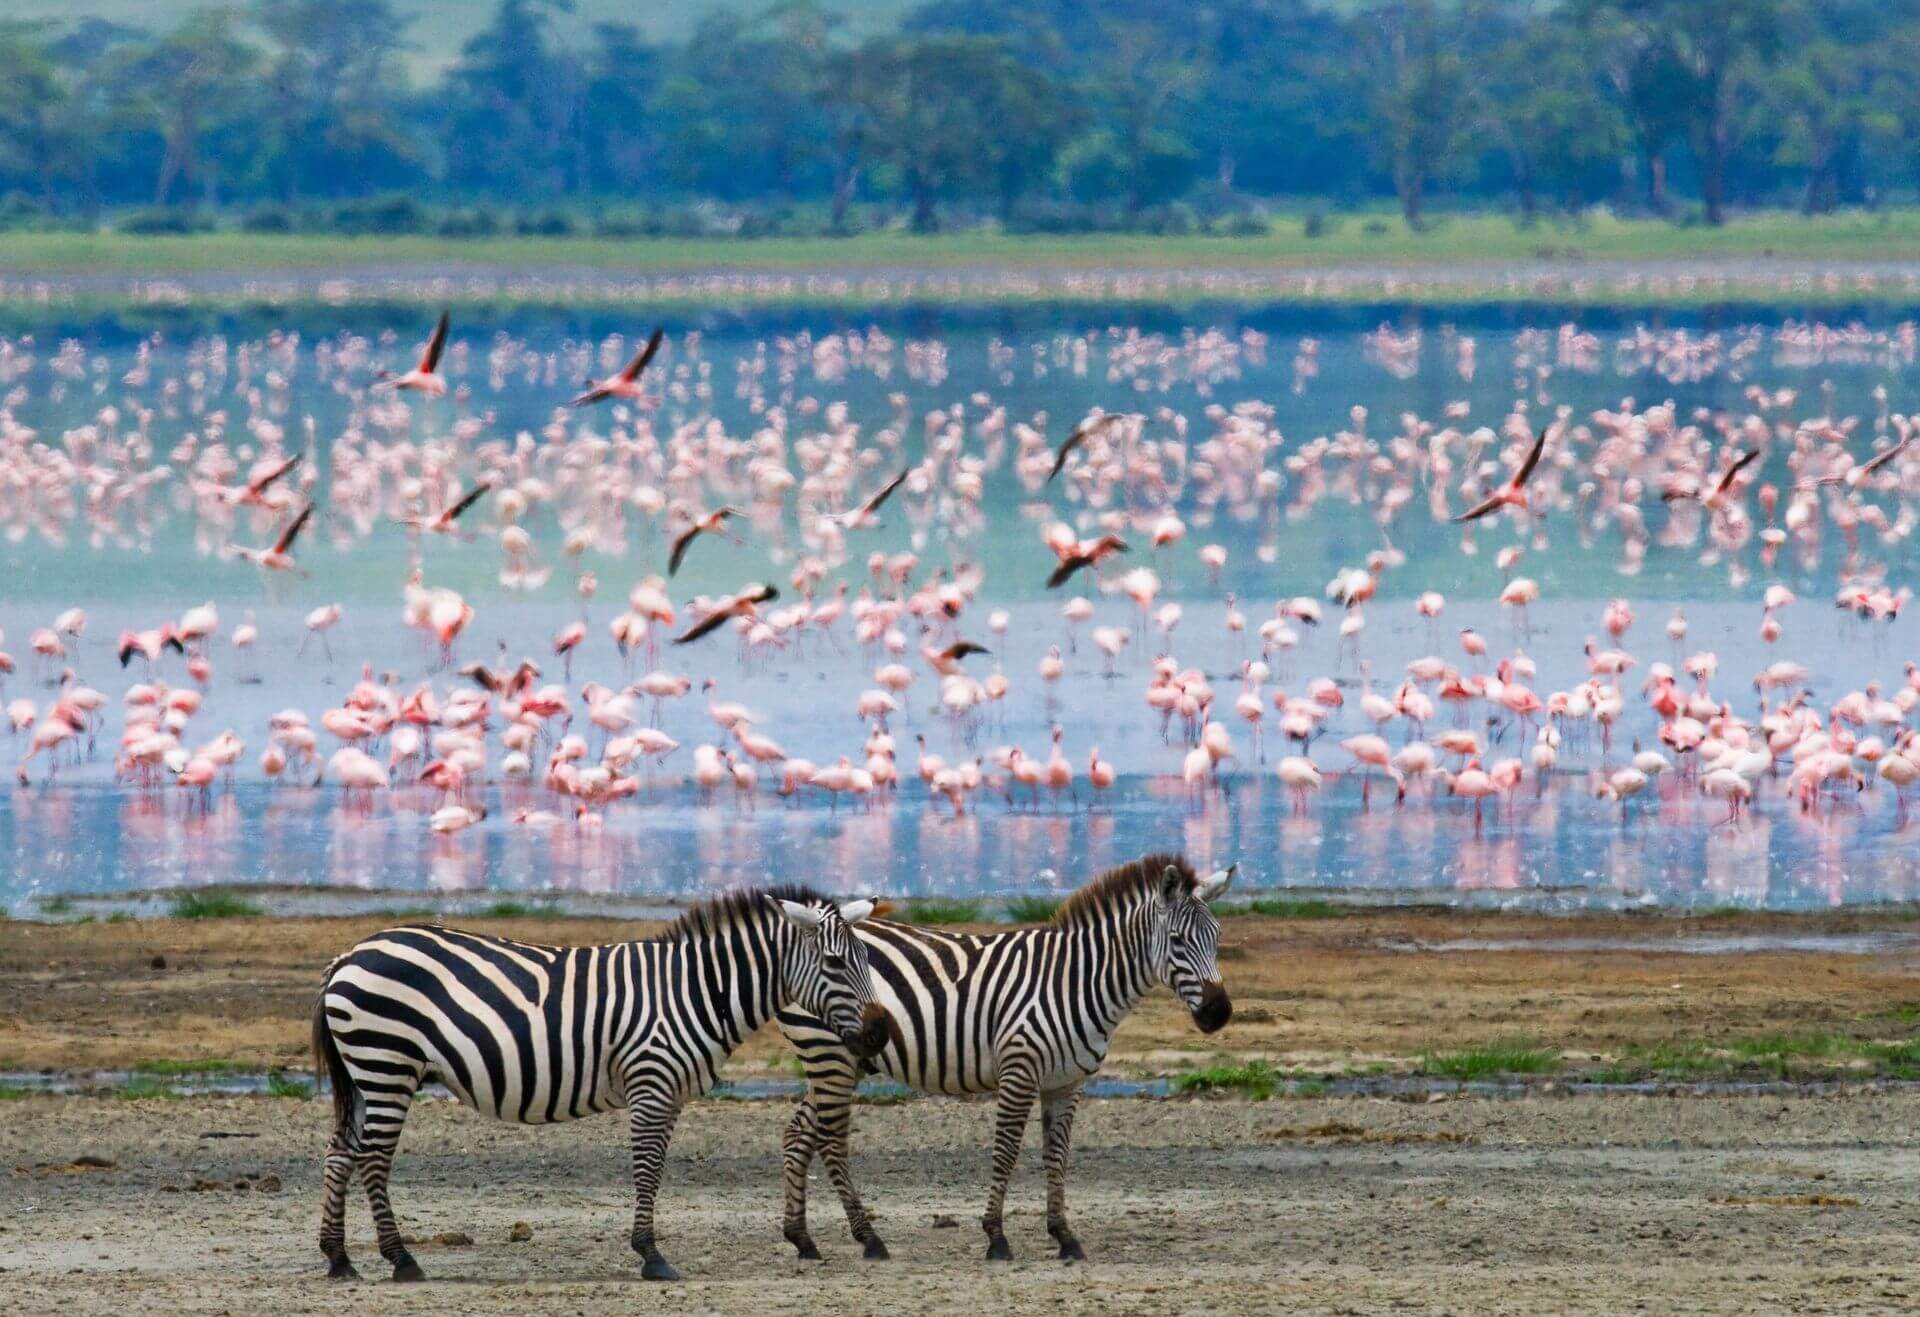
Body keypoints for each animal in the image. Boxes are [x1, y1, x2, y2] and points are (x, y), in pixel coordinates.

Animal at [311, 890, 887, 1282]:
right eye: (836, 962)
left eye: (867, 961)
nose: (880, 1033)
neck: (697, 991)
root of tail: (349, 954)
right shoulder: (651, 1084)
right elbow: (648, 1170)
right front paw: (651, 1256)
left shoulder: (670, 1095)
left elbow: (654, 1170)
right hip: (387, 1064)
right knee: (372, 1160)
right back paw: (401, 1260)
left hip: (366, 1073)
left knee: (341, 1153)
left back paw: (339, 1259)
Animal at [775, 856, 1236, 1267]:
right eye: (1177, 940)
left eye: (1216, 935)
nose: (1219, 1013)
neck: (1077, 980)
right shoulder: (1019, 1069)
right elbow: (1007, 1151)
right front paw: (996, 1237)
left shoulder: (1066, 1083)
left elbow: (1057, 1155)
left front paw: (1064, 1236)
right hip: (829, 1053)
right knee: (830, 1140)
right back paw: (869, 1238)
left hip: (843, 1060)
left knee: (799, 1133)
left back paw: (802, 1238)